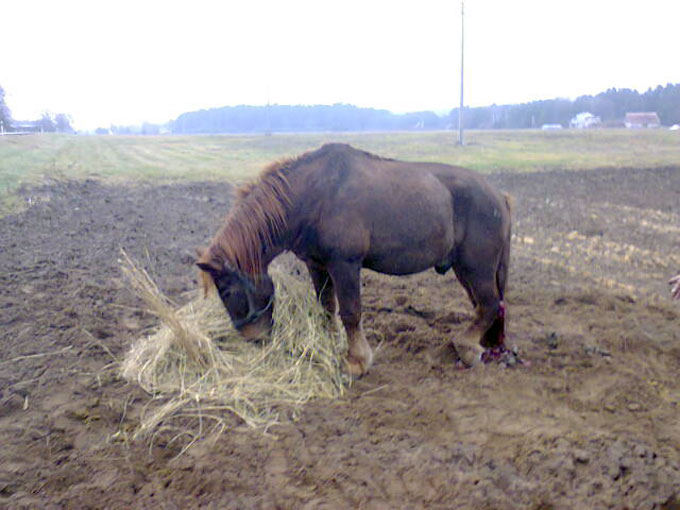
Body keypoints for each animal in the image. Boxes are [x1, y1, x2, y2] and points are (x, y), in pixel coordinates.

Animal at [197, 143, 510, 374]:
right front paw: (329, 343)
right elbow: (326, 306)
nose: (253, 338)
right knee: (485, 306)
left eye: (226, 290)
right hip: (464, 270)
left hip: (477, 268)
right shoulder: (317, 265)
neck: (313, 196)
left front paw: (357, 361)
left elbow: (350, 312)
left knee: (489, 304)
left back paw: (467, 347)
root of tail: (499, 196)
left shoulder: (344, 265)